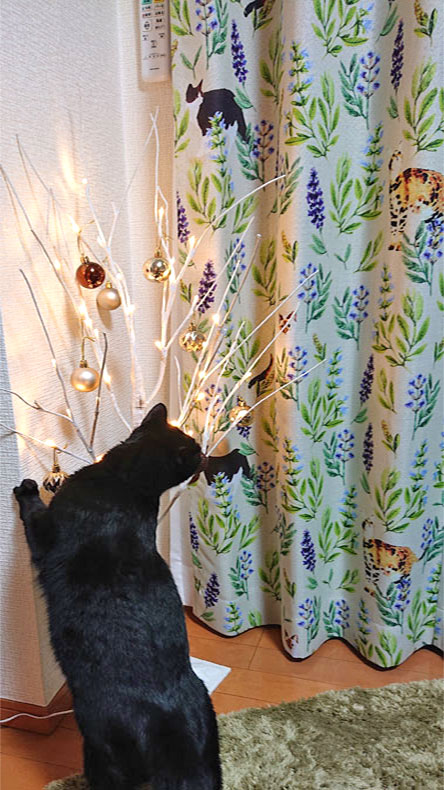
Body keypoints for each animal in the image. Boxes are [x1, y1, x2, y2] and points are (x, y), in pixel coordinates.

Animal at [14, 403, 221, 790]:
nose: (204, 452)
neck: (125, 484)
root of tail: (165, 719)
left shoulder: (46, 536)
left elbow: (32, 513)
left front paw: (27, 488)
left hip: (101, 755)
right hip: (206, 755)